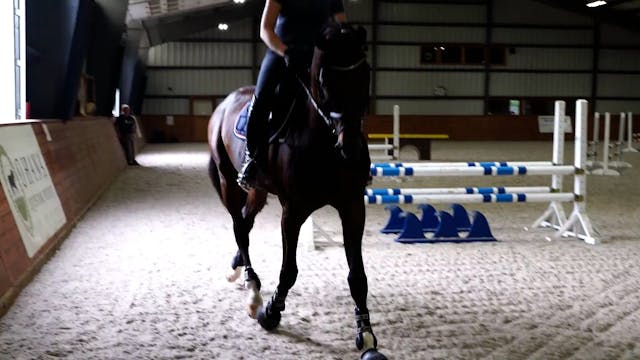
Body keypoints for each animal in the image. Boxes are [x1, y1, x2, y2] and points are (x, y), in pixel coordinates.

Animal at [209, 23, 384, 360]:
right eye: (325, 81)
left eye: (365, 73)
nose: (351, 150)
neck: (325, 143)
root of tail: (224, 104)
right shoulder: (294, 210)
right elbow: (289, 270)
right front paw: (271, 313)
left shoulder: (353, 206)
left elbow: (357, 276)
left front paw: (367, 336)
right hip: (228, 181)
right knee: (239, 227)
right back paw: (252, 288)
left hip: (258, 191)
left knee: (245, 223)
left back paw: (238, 268)